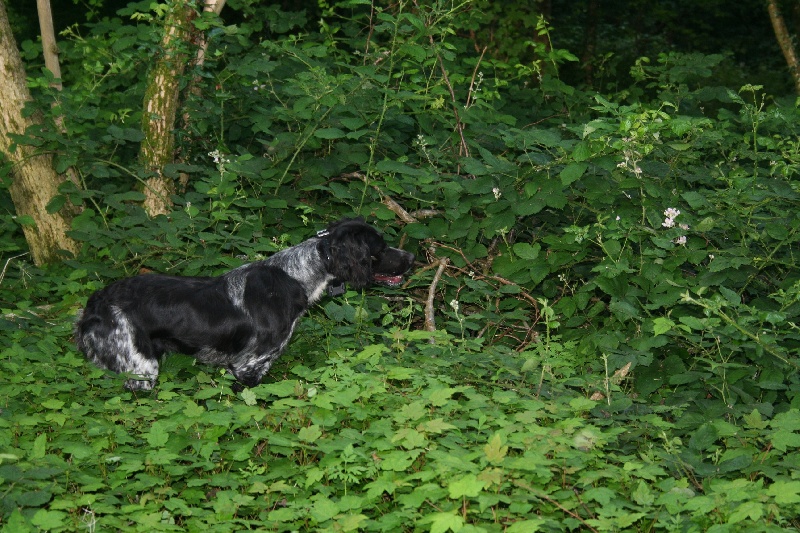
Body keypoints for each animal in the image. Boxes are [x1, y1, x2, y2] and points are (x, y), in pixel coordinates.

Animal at [75, 217, 416, 390]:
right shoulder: (248, 365)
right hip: (141, 368)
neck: (299, 275)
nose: (412, 258)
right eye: (380, 248)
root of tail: (94, 304)